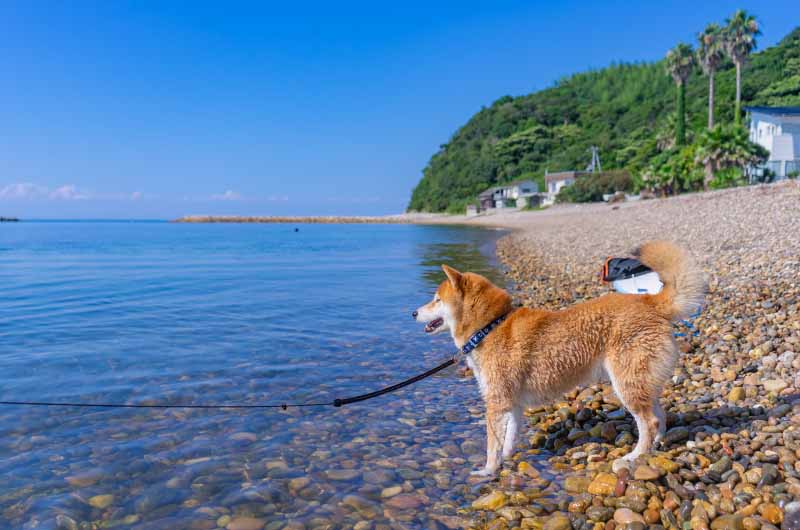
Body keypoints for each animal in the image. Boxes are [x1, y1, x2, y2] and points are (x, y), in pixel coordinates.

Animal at [416, 239, 704, 474]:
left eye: (437, 299)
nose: (413, 313)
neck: (489, 327)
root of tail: (651, 302)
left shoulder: (496, 402)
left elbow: (492, 445)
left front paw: (487, 471)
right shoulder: (512, 402)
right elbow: (509, 437)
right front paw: (507, 459)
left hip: (626, 383)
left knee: (649, 420)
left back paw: (634, 456)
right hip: (640, 381)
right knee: (659, 414)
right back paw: (658, 443)